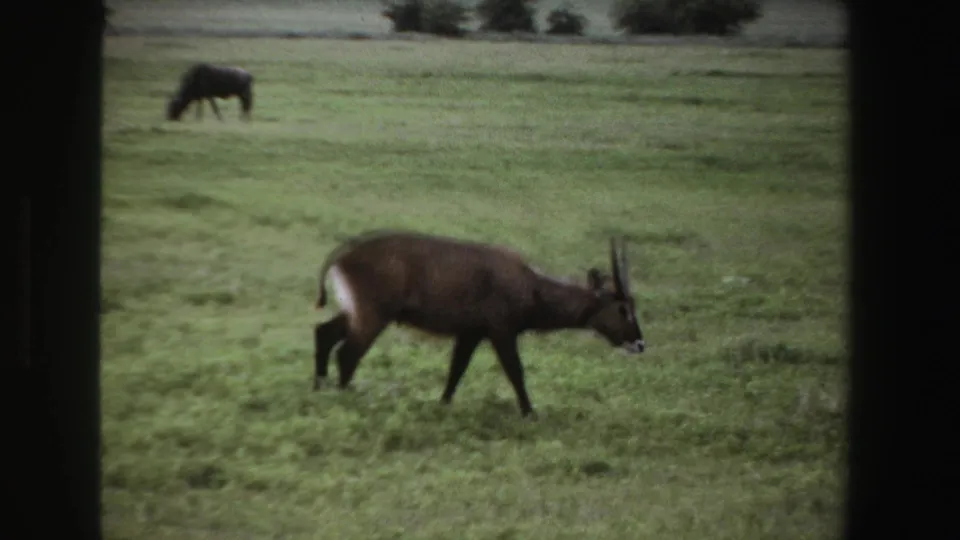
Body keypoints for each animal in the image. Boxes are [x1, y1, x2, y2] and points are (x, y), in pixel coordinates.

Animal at [312, 230, 645, 417]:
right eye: (622, 308)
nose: (640, 343)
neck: (531, 287)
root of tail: (344, 253)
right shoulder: (501, 331)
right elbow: (515, 372)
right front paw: (530, 413)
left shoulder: (470, 334)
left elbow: (456, 371)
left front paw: (443, 405)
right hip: (373, 316)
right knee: (347, 353)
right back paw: (346, 397)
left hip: (358, 312)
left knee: (324, 334)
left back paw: (319, 389)